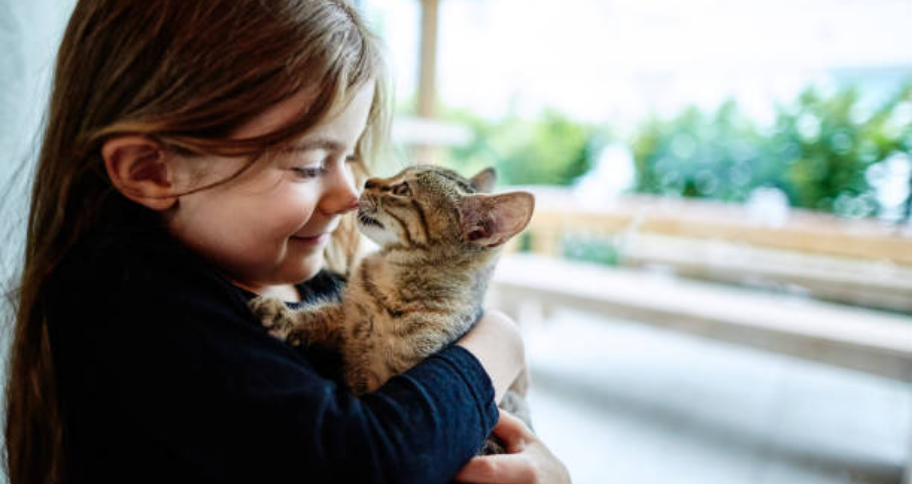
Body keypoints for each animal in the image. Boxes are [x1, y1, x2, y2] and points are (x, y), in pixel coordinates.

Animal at [249, 165, 536, 446]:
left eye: (402, 190)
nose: (368, 181)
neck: (390, 285)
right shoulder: (347, 318)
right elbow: (319, 314)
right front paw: (284, 316)